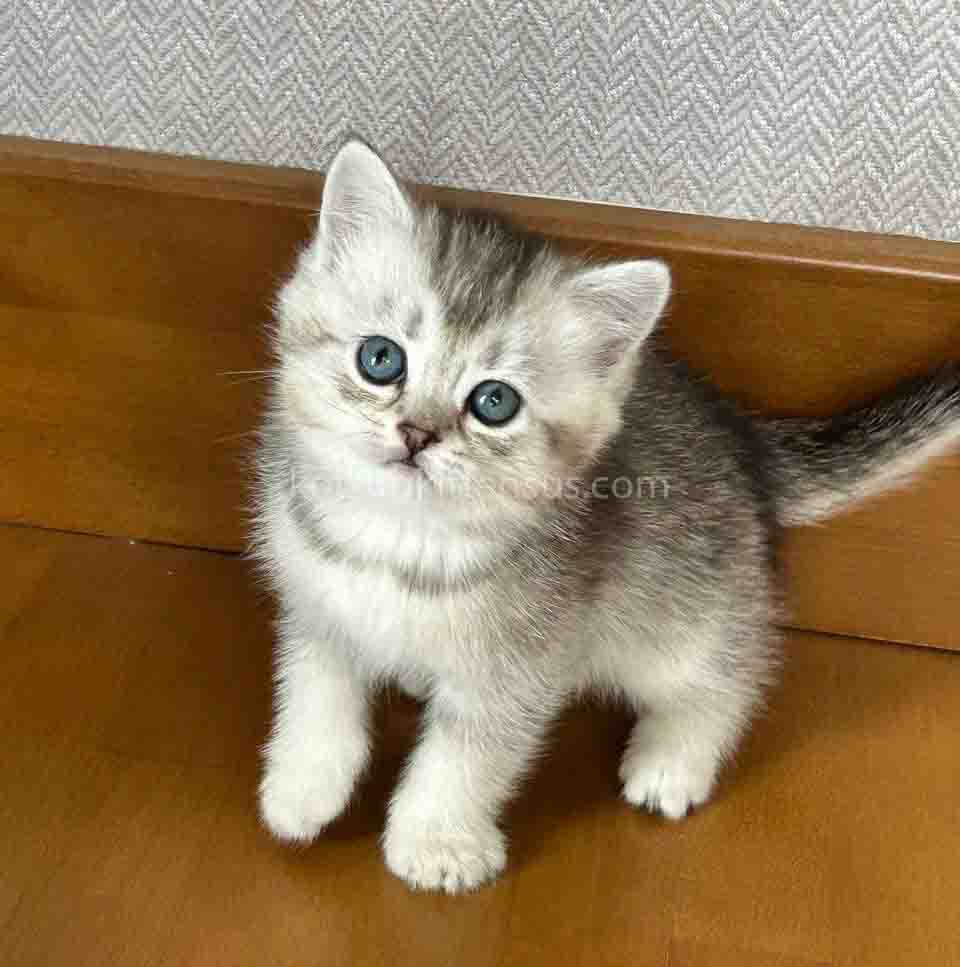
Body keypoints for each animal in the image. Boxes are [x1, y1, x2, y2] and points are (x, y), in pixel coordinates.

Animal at [253, 140, 960, 894]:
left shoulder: (523, 665)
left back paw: (675, 758)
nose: (417, 433)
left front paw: (436, 839)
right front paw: (302, 784)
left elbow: (467, 757)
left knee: (734, 668)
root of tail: (738, 431)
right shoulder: (316, 603)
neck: (398, 541)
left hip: (683, 607)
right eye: (380, 358)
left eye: (494, 402)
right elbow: (315, 691)